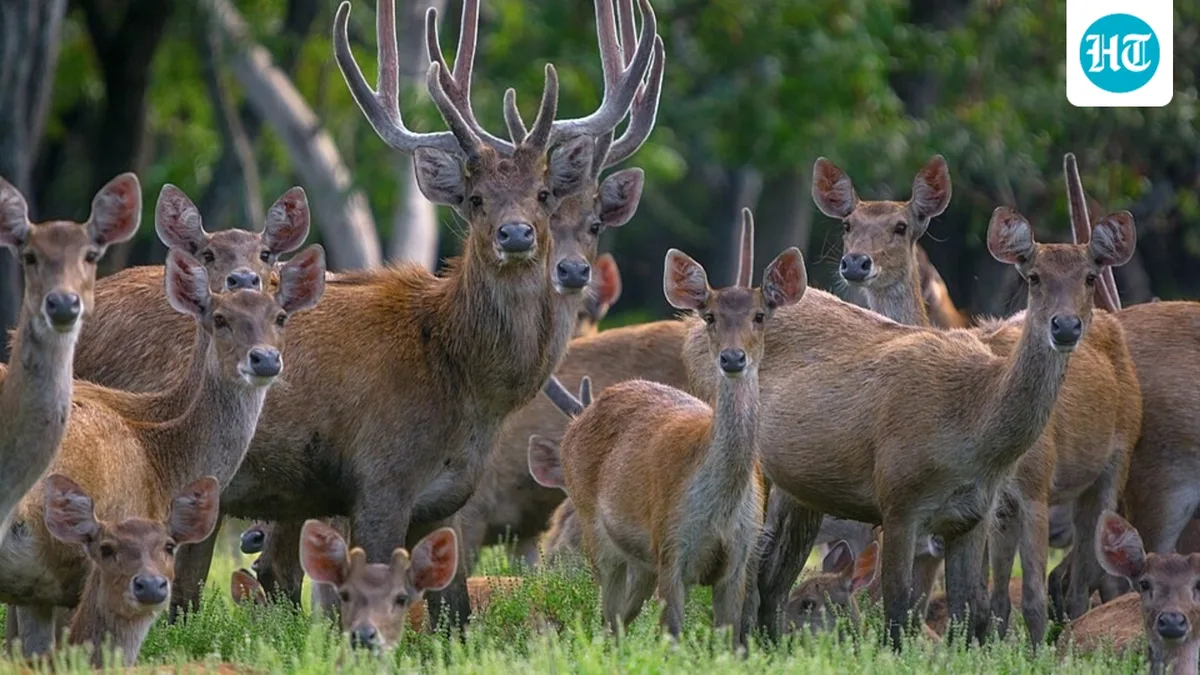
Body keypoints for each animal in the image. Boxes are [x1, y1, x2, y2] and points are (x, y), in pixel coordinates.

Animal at [169, 0, 663, 629]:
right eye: (474, 199)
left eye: (544, 193)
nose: (516, 234)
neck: (457, 375)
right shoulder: (380, 478)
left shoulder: (450, 496)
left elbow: (456, 617)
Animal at [535, 211, 808, 644]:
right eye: (709, 316)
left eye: (760, 315)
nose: (733, 358)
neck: (719, 507)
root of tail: (581, 418)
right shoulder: (671, 545)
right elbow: (673, 635)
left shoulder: (740, 557)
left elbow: (730, 639)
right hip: (598, 533)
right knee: (607, 615)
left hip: (643, 561)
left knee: (621, 616)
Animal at [688, 164, 1138, 646]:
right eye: (1032, 276)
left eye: (1090, 276)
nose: (1065, 326)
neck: (972, 431)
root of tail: (694, 328)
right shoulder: (898, 499)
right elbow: (897, 610)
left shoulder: (973, 517)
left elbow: (969, 610)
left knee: (772, 578)